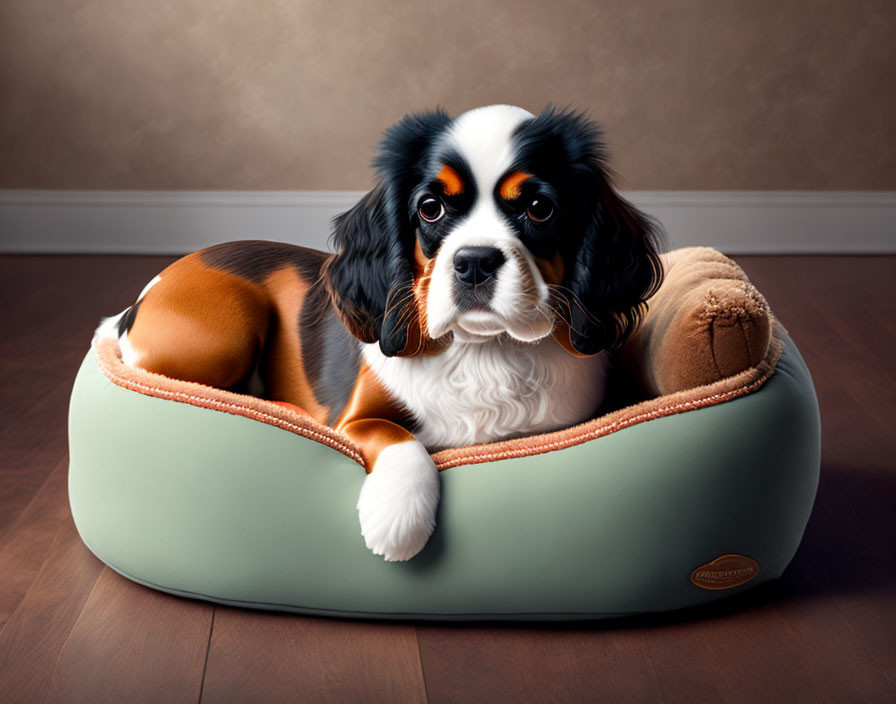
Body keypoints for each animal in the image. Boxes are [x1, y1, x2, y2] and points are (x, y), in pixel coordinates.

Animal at [94, 104, 660, 564]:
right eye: (430, 208)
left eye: (539, 209)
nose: (475, 262)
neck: (483, 349)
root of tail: (133, 307)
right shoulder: (356, 417)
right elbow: (397, 437)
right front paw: (398, 519)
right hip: (226, 326)